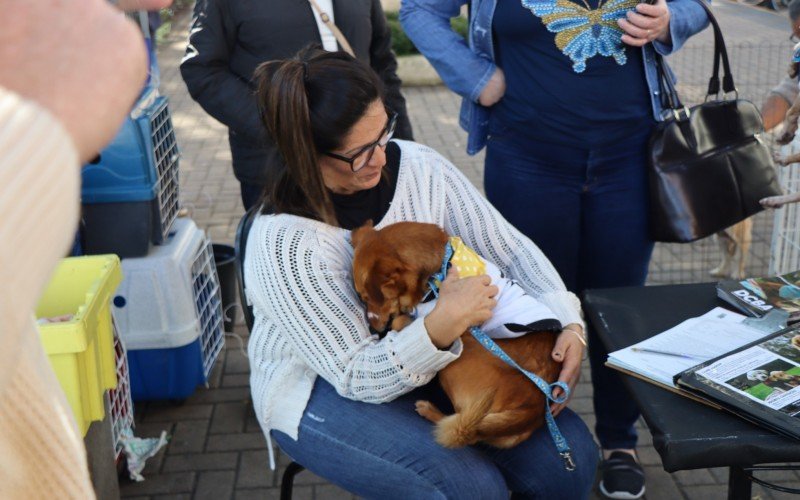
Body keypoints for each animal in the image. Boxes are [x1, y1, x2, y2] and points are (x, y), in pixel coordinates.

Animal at [350, 221, 564, 448]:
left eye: (367, 298)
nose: (373, 329)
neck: (441, 266)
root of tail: (532, 410)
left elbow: (401, 320)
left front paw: (403, 320)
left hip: (460, 353)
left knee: (462, 427)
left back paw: (430, 411)